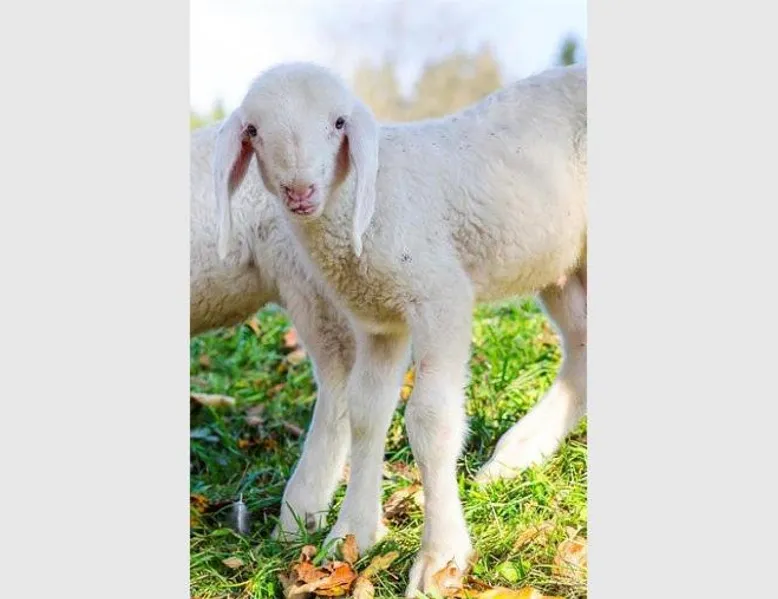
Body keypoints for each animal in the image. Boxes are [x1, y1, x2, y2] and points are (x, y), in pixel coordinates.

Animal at [213, 62, 587, 597]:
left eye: (338, 123)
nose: (300, 192)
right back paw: (516, 456)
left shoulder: (440, 297)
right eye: (253, 130)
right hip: (561, 262)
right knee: (582, 345)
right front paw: (351, 536)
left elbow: (430, 421)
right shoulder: (379, 320)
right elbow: (365, 414)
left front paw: (440, 559)